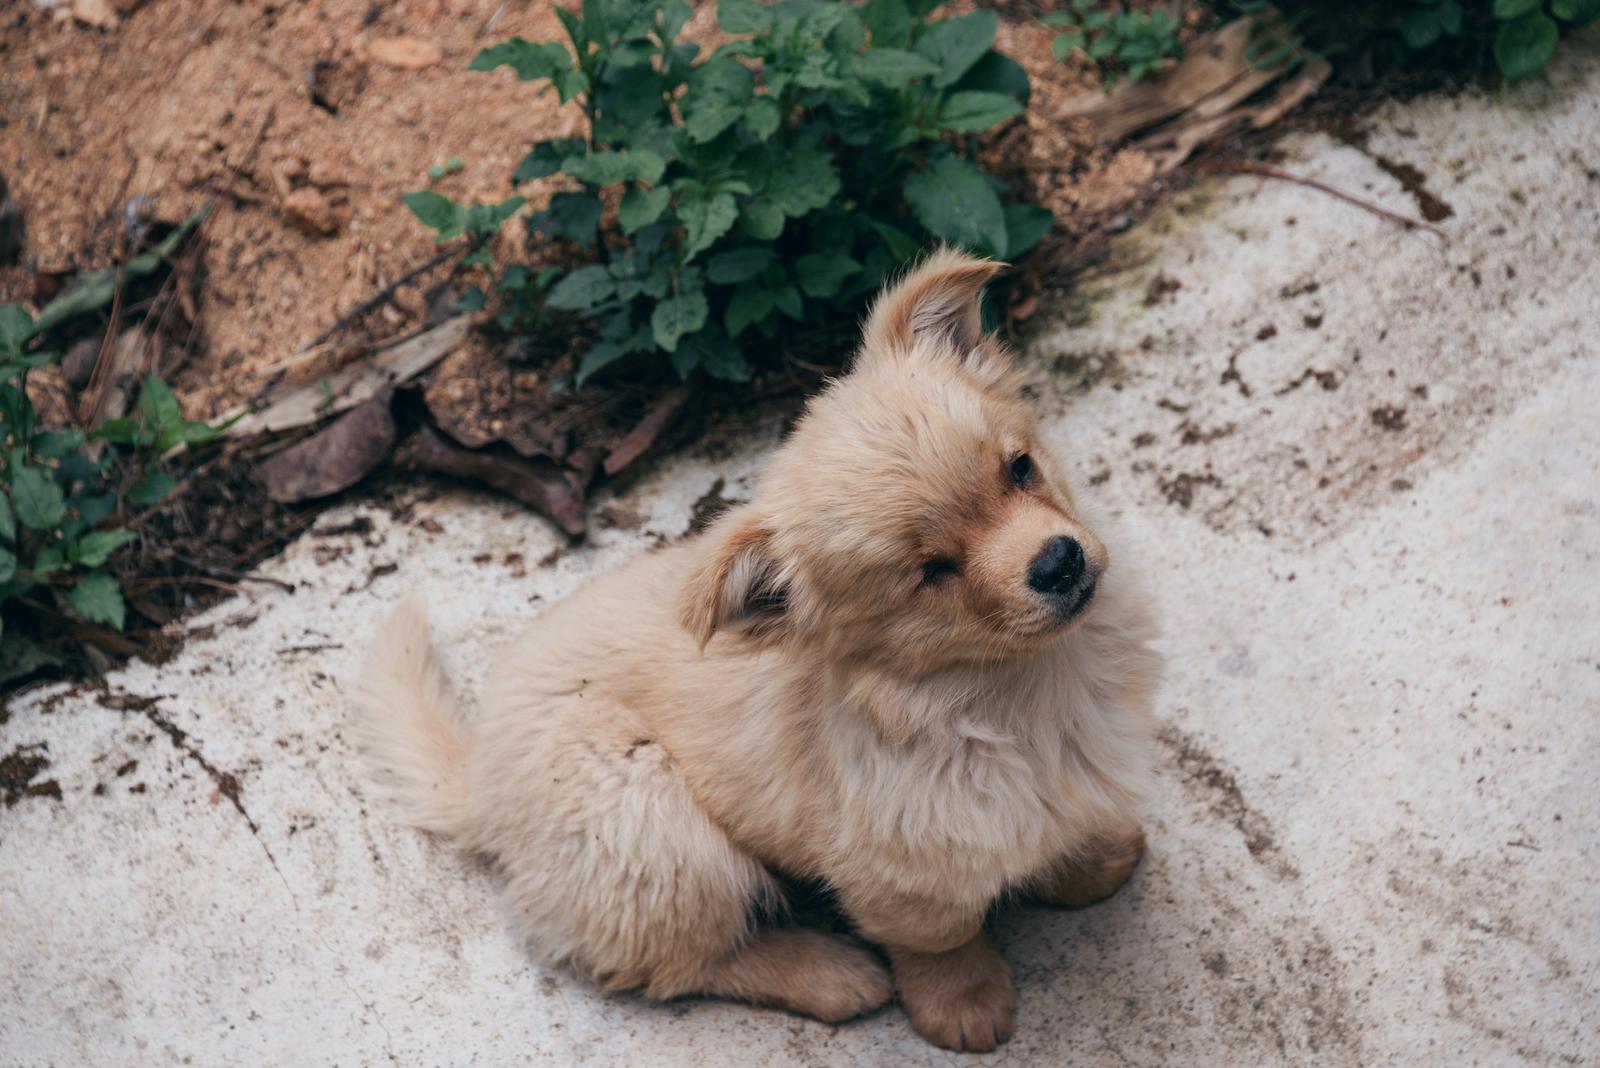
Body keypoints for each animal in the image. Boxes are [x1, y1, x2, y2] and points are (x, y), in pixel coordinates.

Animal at [353, 247, 1164, 1048]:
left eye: (1019, 468)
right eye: (932, 572)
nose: (1058, 564)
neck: (1015, 686)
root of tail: (477, 781)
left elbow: (1060, 831)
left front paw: (1089, 865)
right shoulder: (897, 867)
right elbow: (940, 938)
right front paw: (962, 1002)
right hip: (656, 832)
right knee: (679, 962)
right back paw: (828, 973)